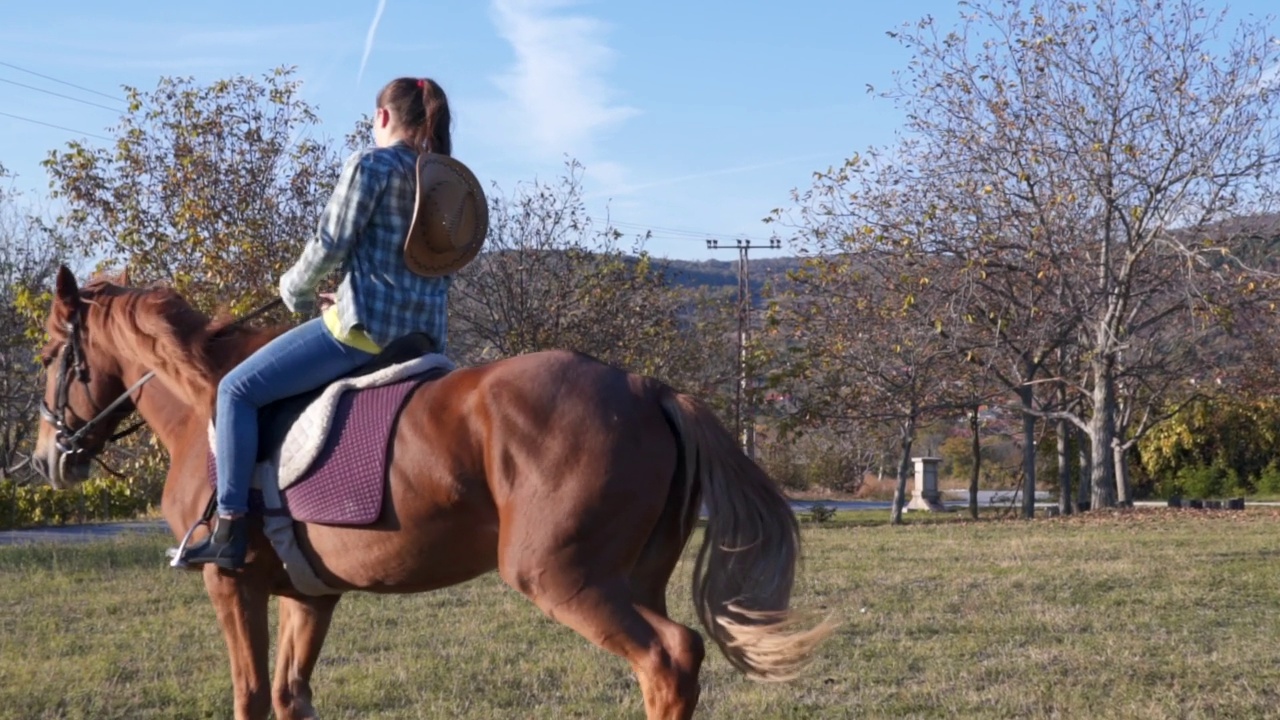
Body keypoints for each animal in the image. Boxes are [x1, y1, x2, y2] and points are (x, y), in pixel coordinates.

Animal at [30, 266, 834, 712]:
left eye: (46, 356)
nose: (46, 461)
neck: (207, 402)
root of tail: (646, 387)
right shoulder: (308, 595)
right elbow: (291, 698)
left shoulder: (233, 585)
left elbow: (252, 698)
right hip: (634, 577)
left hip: (563, 578)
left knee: (667, 660)